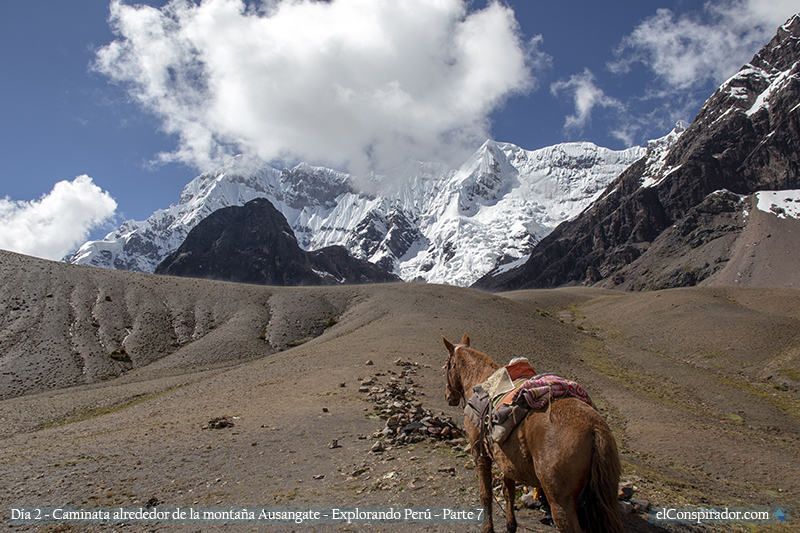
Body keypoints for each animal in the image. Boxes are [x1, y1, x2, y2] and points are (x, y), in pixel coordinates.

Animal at [444, 334, 624, 532]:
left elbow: (486, 495)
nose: (448, 397)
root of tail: (595, 428)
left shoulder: (480, 455)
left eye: (446, 365)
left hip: (560, 500)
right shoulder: (507, 461)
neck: (480, 381)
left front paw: (488, 528)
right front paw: (511, 526)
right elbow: (509, 492)